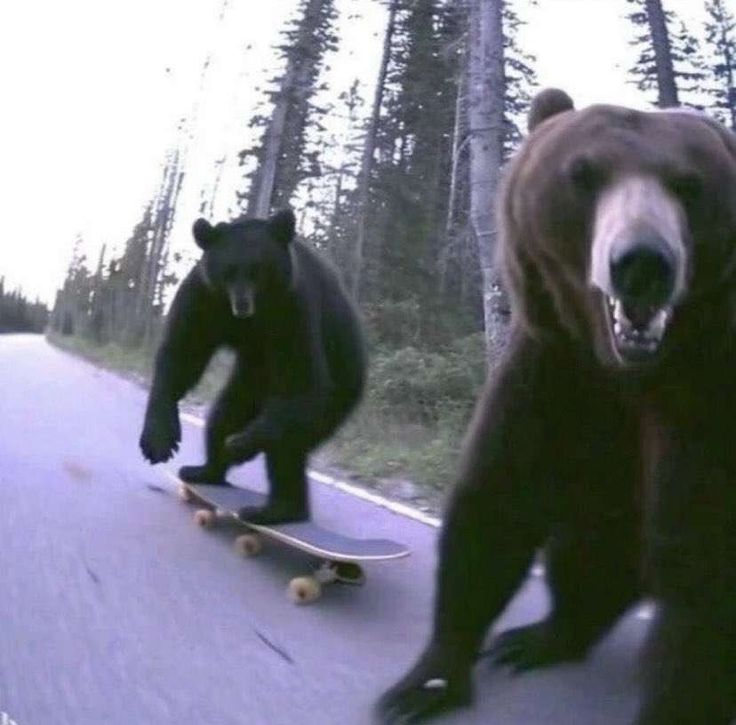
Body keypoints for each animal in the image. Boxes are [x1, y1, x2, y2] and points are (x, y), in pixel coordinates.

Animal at [138, 206, 366, 524]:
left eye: (258, 270)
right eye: (229, 271)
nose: (242, 306)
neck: (255, 318)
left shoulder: (294, 307)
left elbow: (303, 379)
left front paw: (243, 444)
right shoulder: (204, 296)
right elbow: (183, 353)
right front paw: (158, 439)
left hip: (339, 390)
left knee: (288, 442)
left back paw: (277, 508)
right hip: (250, 381)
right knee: (225, 414)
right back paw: (205, 470)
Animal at [380, 90, 736, 724]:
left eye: (689, 183)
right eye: (582, 174)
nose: (642, 261)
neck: (627, 371)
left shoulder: (705, 395)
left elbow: (704, 568)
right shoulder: (555, 369)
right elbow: (499, 497)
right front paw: (428, 680)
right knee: (585, 547)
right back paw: (538, 637)